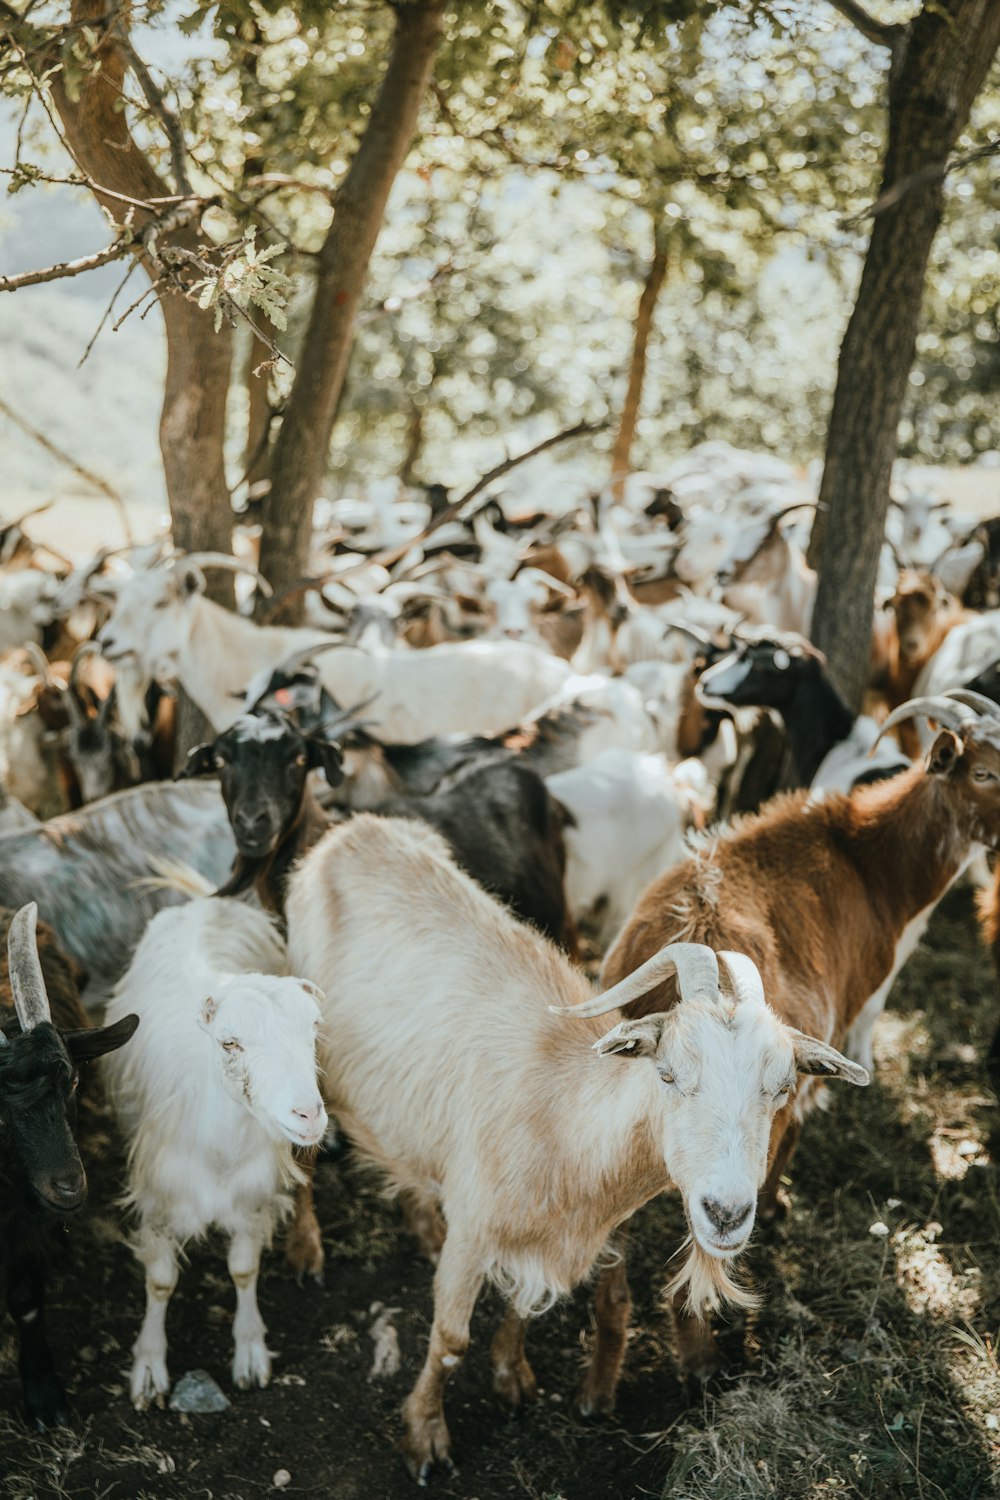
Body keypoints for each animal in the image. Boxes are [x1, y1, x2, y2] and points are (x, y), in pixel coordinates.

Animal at [103, 894, 326, 1410]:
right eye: (230, 1043)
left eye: (313, 1030)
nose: (308, 1114)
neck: (220, 1153)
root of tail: (205, 901)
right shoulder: (158, 1202)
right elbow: (160, 1282)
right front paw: (149, 1367)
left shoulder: (252, 1199)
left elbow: (243, 1271)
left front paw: (250, 1352)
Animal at [283, 810, 863, 1476]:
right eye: (668, 1074)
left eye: (781, 1086)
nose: (726, 1213)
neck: (562, 1121)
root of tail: (350, 830)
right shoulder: (473, 1230)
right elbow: (450, 1341)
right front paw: (426, 1437)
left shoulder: (542, 1239)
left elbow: (520, 1306)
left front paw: (512, 1378)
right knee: (300, 1153)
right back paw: (305, 1249)